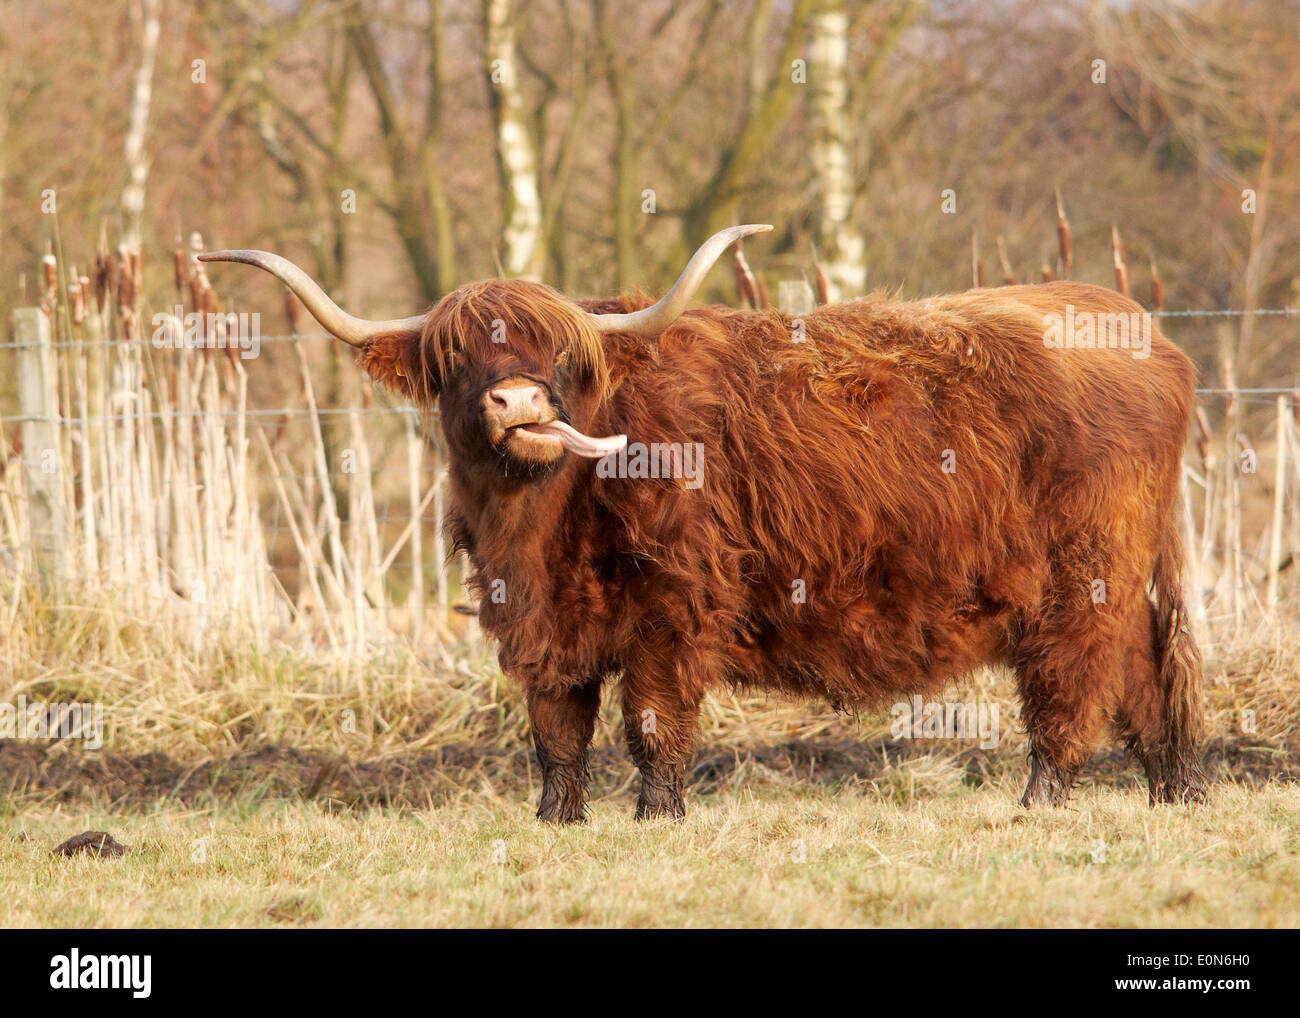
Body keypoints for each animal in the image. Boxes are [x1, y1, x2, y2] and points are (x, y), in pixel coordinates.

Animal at [200, 227, 1206, 821]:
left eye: (561, 357)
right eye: (454, 357)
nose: (519, 401)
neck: (540, 528)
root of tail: (1142, 329)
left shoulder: (672, 607)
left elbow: (651, 722)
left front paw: (657, 816)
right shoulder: (536, 621)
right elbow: (555, 730)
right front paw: (558, 819)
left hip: (1081, 580)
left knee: (1072, 688)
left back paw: (1040, 802)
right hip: (1118, 580)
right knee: (1145, 682)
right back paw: (1175, 793)